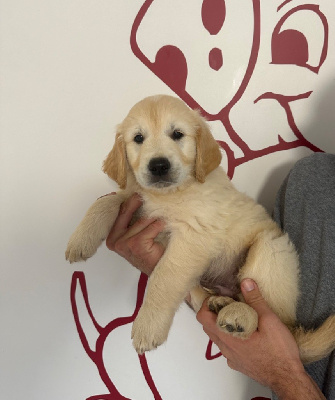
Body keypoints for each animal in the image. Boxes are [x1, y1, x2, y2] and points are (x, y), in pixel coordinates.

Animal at [65, 94, 335, 362]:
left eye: (177, 134)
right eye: (138, 138)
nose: (159, 166)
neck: (168, 194)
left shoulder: (193, 235)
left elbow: (164, 277)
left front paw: (148, 326)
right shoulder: (135, 200)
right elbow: (107, 200)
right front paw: (81, 240)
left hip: (272, 249)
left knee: (277, 319)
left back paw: (241, 315)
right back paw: (220, 302)